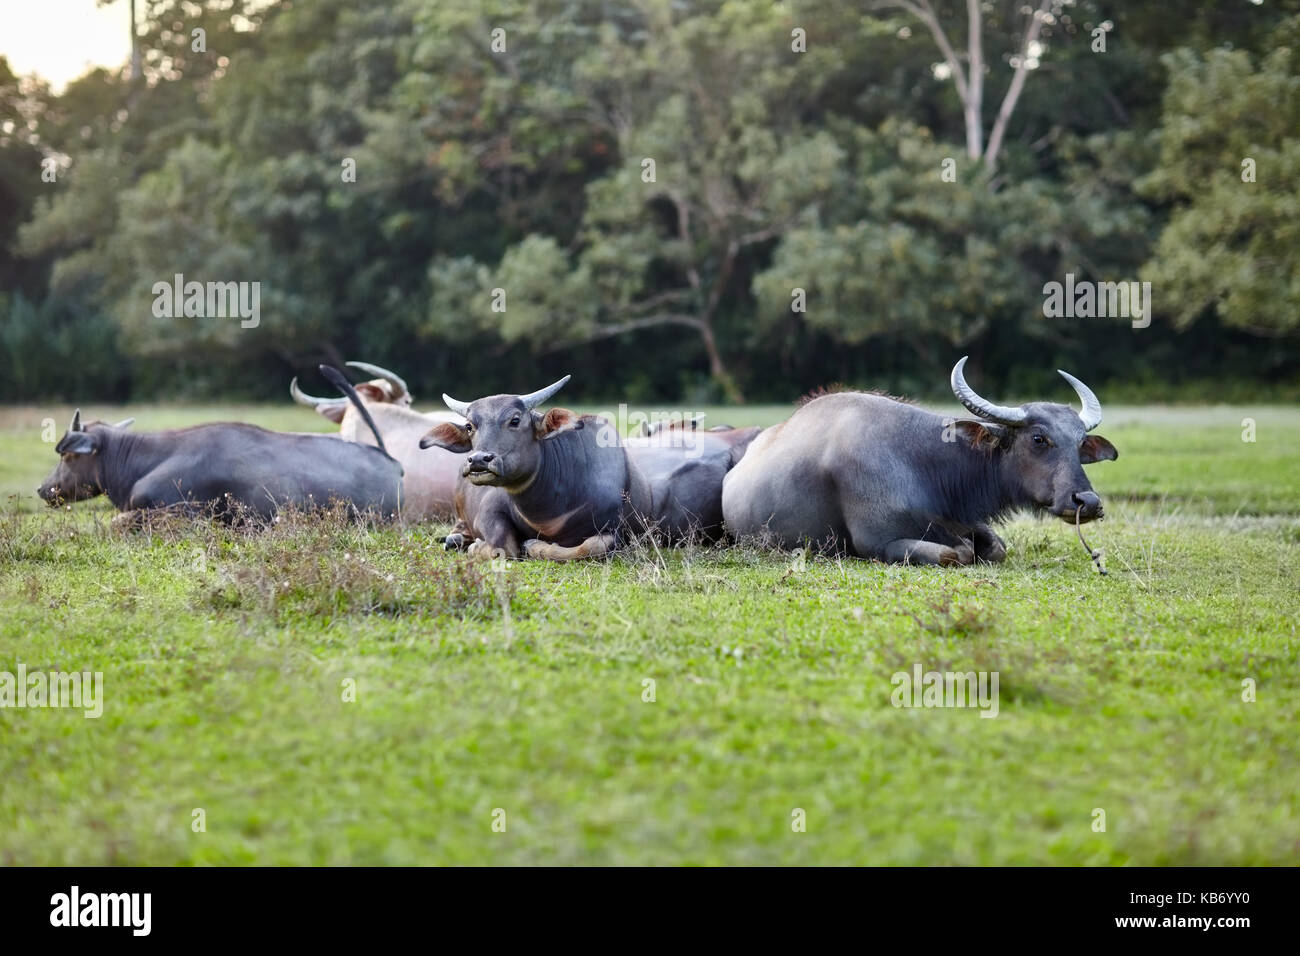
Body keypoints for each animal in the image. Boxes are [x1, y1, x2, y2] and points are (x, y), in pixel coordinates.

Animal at [720, 357, 1119, 565]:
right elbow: (956, 554)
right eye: (1038, 438)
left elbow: (996, 548)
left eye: (1079, 442)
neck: (923, 465)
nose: (1087, 502)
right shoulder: (879, 544)